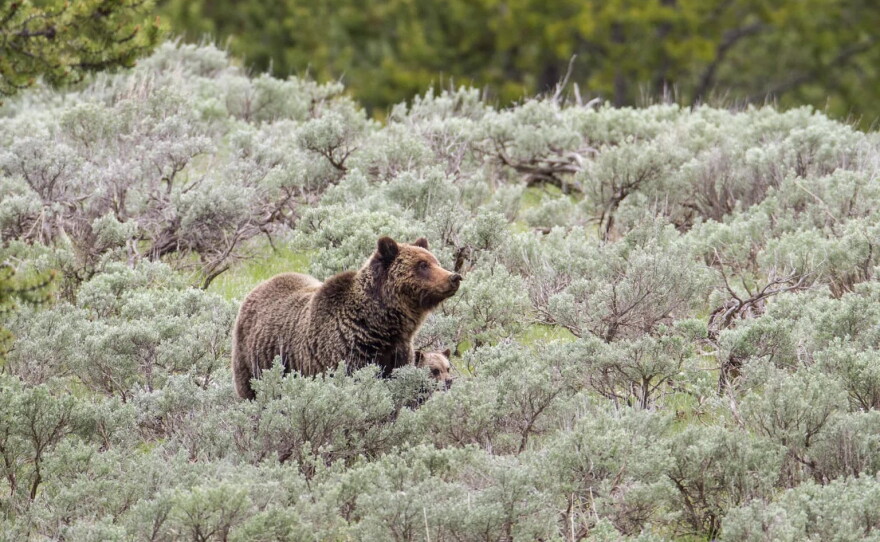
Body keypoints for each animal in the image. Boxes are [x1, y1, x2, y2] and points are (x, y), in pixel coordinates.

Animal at [232, 236, 462, 399]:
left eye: (435, 261)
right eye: (422, 265)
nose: (454, 277)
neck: (379, 328)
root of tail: (257, 288)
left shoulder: (397, 353)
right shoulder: (341, 355)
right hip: (254, 361)